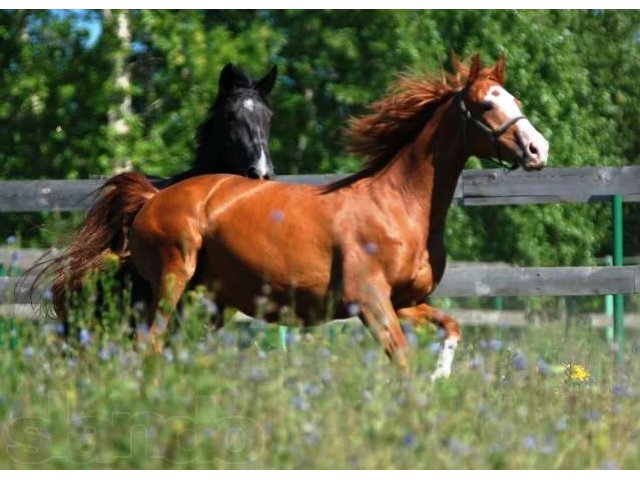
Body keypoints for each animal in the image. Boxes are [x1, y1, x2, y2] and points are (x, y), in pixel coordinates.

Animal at [106, 57, 552, 378]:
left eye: (515, 101)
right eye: (486, 103)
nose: (538, 149)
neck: (398, 206)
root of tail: (152, 198)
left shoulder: (404, 302)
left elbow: (451, 328)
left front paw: (439, 380)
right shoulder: (370, 302)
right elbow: (403, 363)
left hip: (210, 301)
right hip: (173, 282)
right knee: (150, 344)